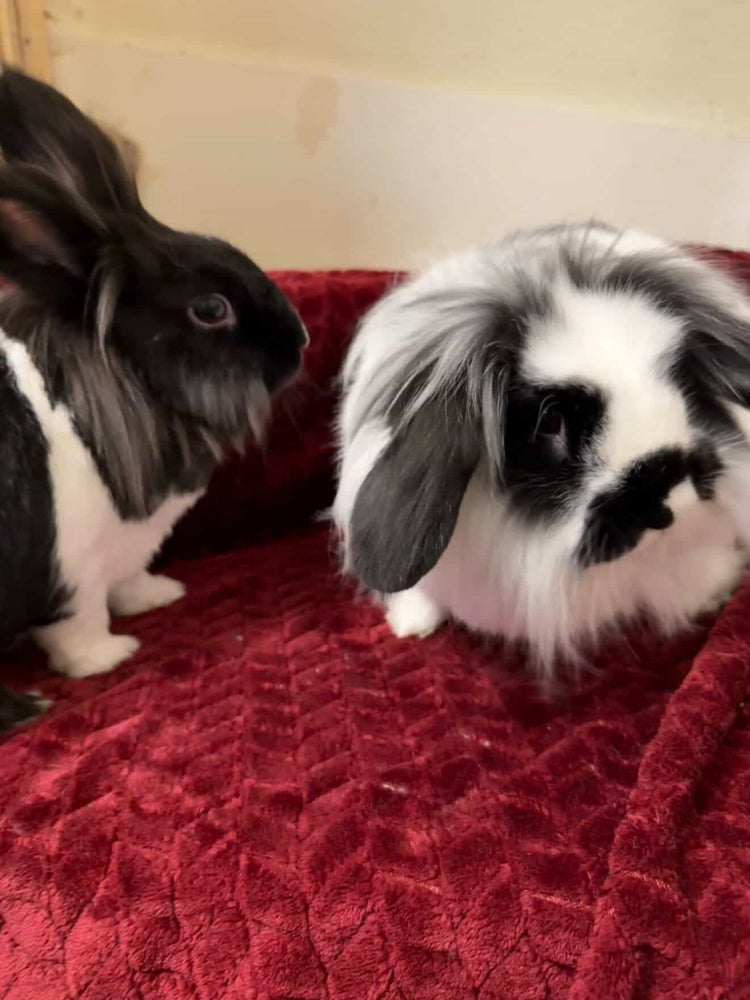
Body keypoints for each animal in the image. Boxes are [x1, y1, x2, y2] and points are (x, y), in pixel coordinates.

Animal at [0, 68, 306, 730]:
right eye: (211, 309)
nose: (302, 339)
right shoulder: (71, 573)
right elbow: (79, 626)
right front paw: (111, 656)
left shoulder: (123, 553)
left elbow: (130, 579)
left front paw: (157, 598)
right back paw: (28, 707)